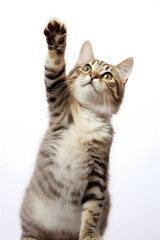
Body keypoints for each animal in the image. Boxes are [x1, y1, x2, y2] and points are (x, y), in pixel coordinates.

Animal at [20, 18, 134, 240]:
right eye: (87, 67)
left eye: (107, 76)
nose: (94, 76)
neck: (88, 115)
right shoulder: (59, 104)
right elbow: (54, 72)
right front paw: (56, 39)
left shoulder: (97, 172)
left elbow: (92, 209)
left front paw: (89, 234)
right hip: (30, 220)